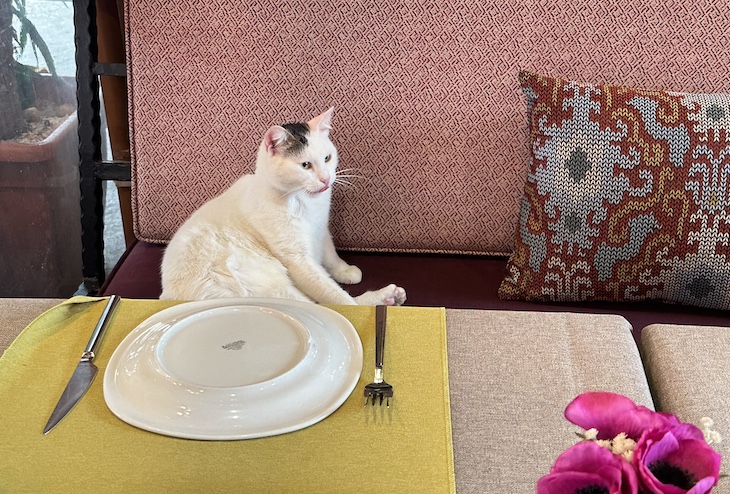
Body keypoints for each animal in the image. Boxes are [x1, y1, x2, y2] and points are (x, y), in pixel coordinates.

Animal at [160, 108, 406, 304]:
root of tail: (168, 295)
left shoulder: (321, 229)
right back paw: (384, 297)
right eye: (305, 165)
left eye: (327, 158)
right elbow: (333, 294)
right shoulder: (297, 259)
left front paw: (344, 270)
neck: (305, 201)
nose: (326, 179)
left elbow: (329, 253)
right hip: (269, 286)